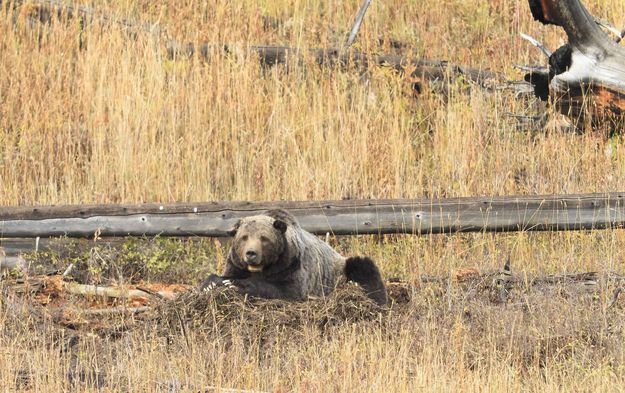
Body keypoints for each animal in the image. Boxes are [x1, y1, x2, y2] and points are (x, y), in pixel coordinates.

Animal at [200, 208, 386, 304]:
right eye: (244, 237)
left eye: (264, 238)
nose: (251, 253)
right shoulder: (236, 264)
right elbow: (222, 275)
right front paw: (212, 283)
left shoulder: (290, 265)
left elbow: (285, 290)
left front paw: (235, 284)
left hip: (340, 269)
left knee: (364, 268)